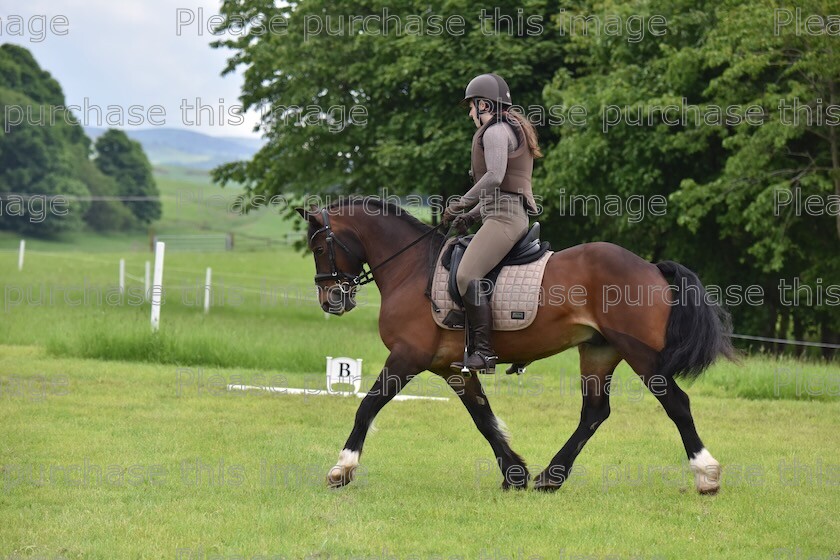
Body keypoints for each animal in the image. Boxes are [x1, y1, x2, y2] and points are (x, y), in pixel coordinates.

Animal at [296, 198, 736, 494]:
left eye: (318, 248)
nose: (331, 300)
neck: (411, 268)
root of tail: (651, 267)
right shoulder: (453, 368)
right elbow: (483, 418)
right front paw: (515, 474)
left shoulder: (408, 356)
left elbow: (367, 406)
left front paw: (342, 469)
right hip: (598, 352)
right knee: (595, 413)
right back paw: (549, 478)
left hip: (641, 355)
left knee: (676, 403)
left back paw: (707, 475)